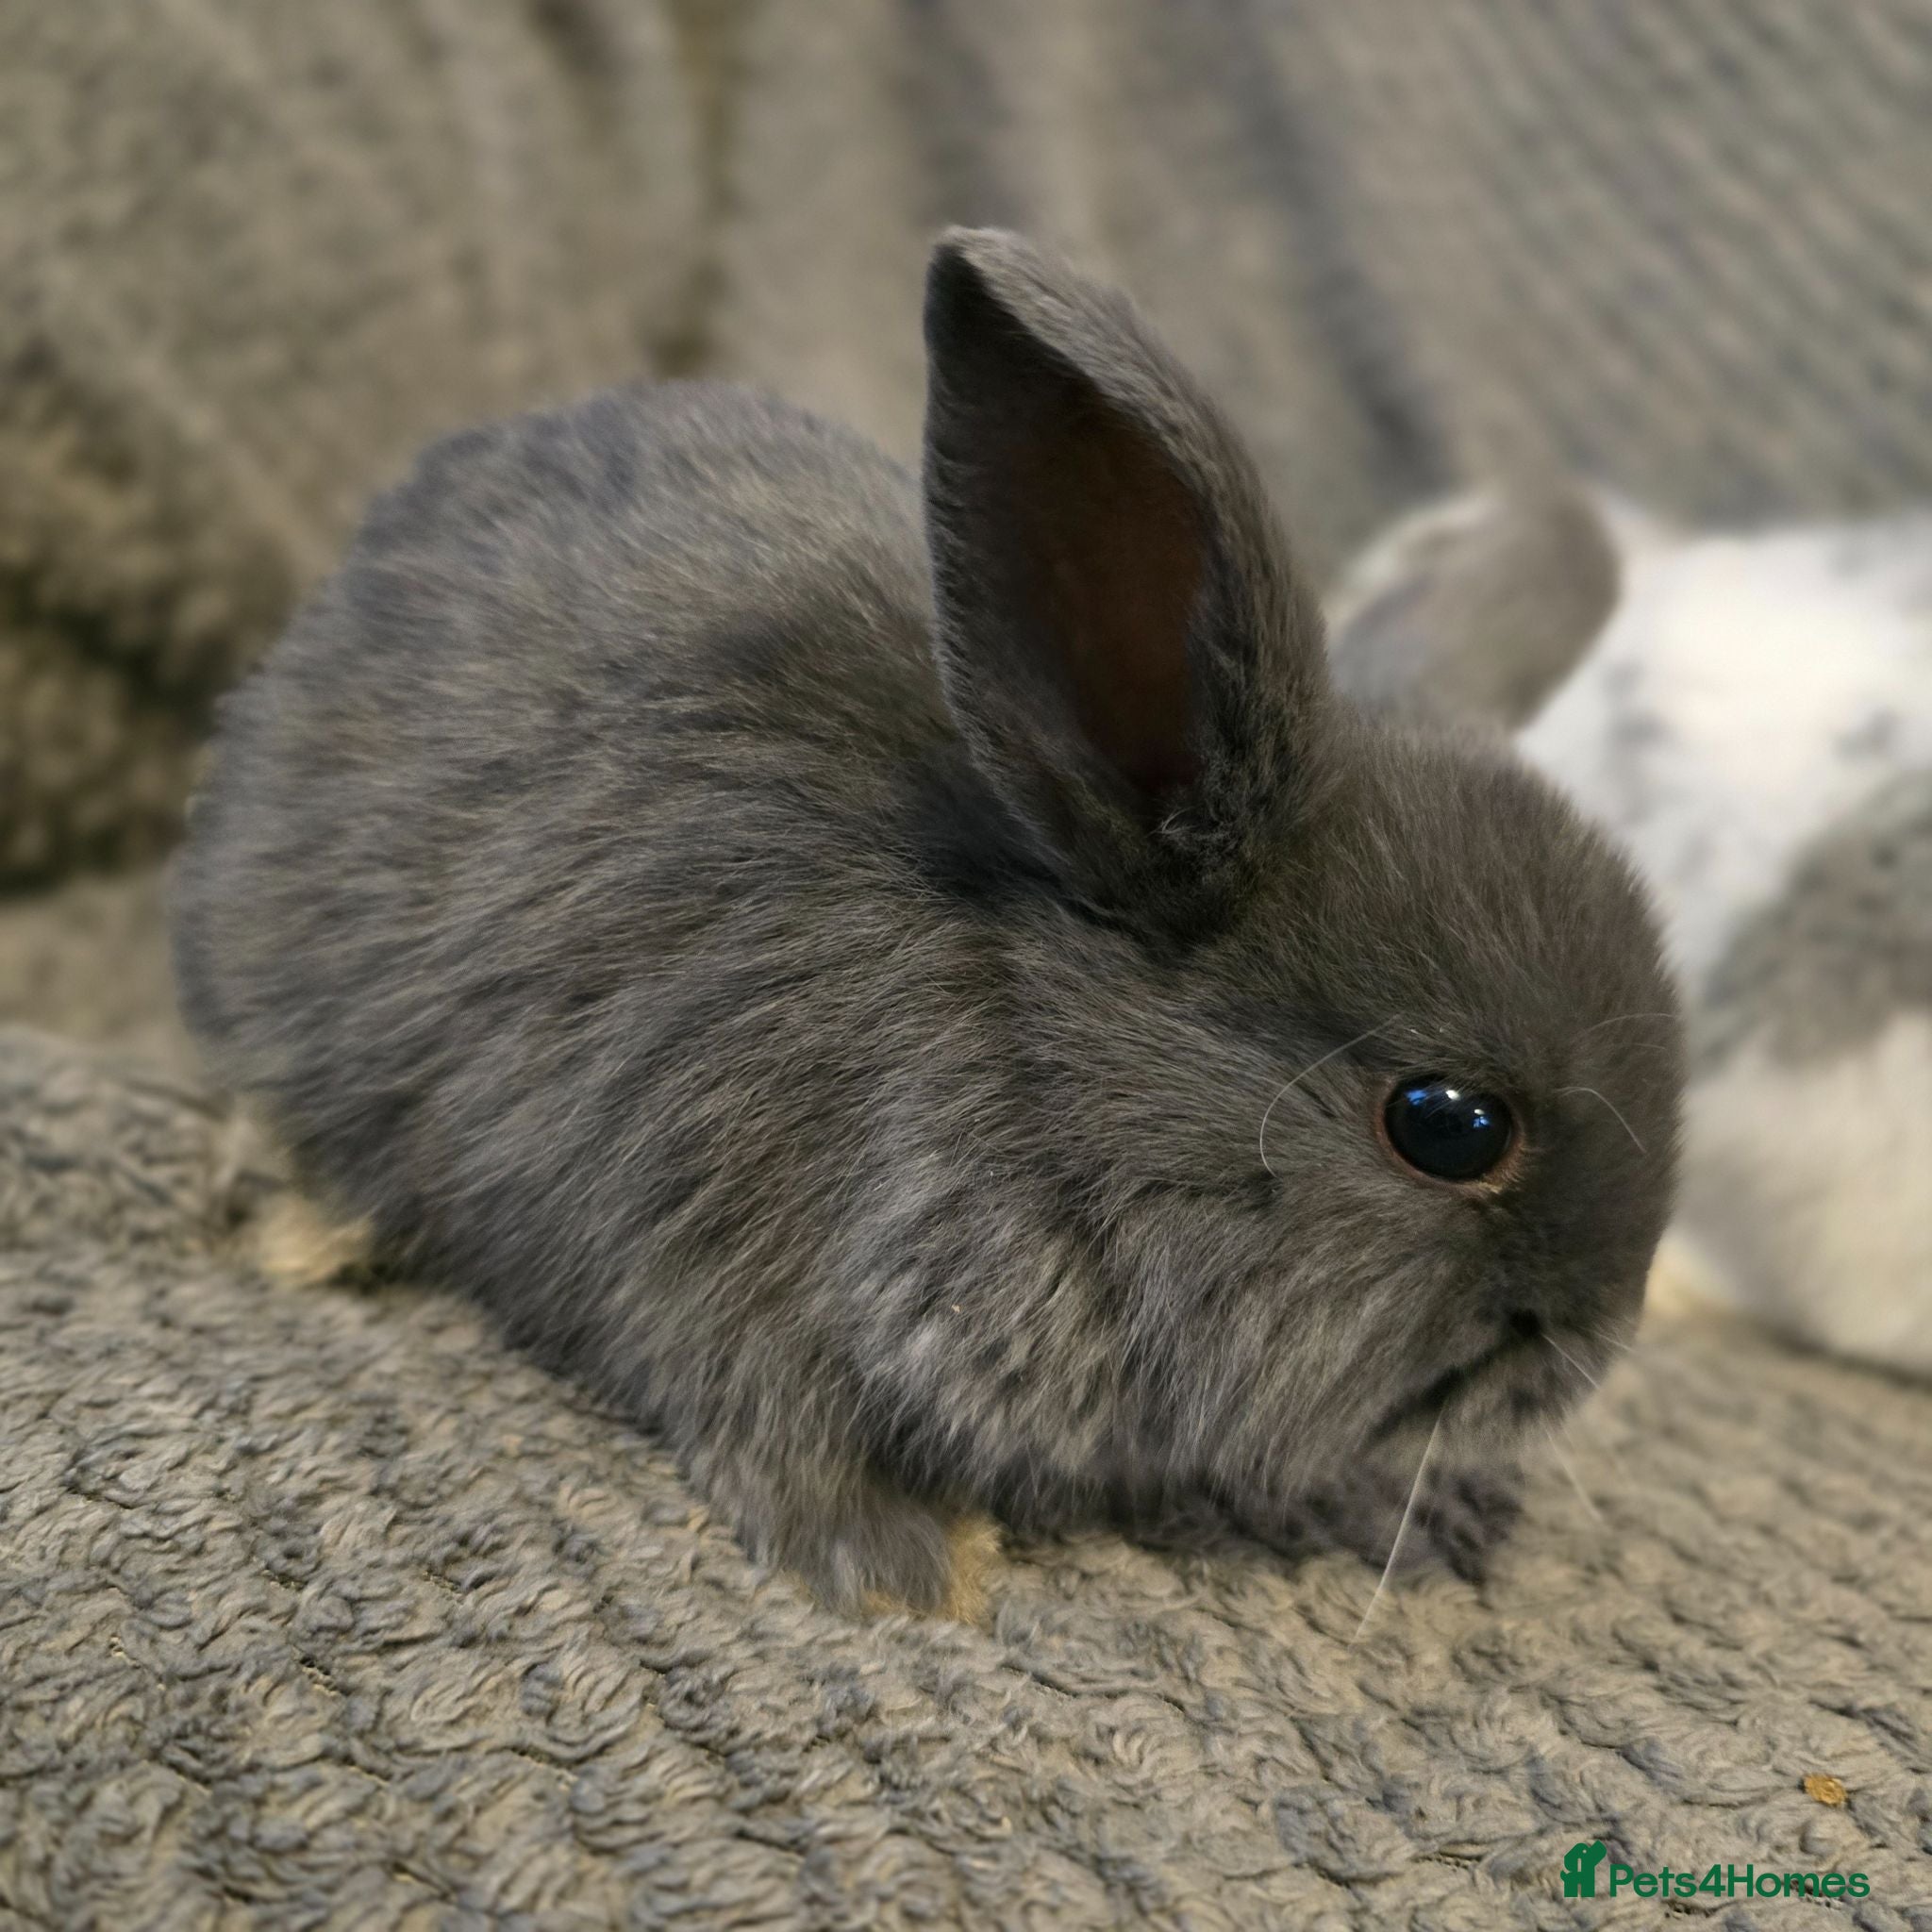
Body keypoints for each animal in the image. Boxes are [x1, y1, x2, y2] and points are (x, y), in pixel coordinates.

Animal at [170, 230, 1681, 1615]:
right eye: (1448, 1125)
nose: (1596, 1339)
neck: (1036, 1056)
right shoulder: (712, 1220)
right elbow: (765, 1414)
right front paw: (907, 1567)